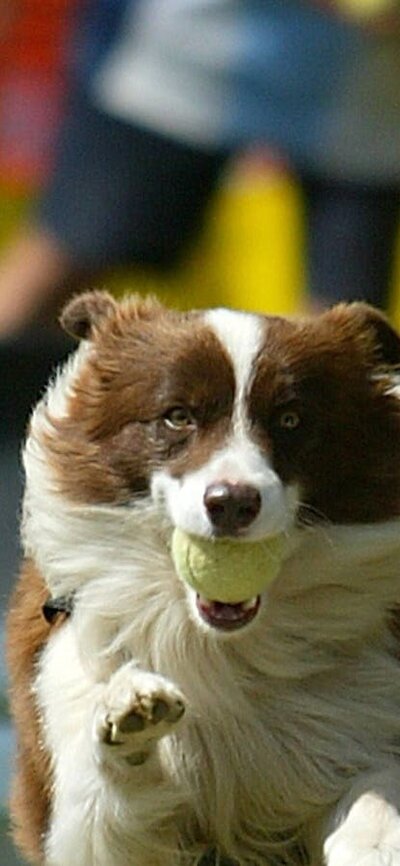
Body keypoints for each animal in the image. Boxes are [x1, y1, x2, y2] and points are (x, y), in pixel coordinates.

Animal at [6, 292, 400, 864]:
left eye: (290, 419)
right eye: (177, 417)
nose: (232, 502)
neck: (220, 649)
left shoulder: (364, 708)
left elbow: (374, 791)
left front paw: (373, 841)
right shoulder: (63, 690)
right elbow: (104, 821)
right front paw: (130, 715)